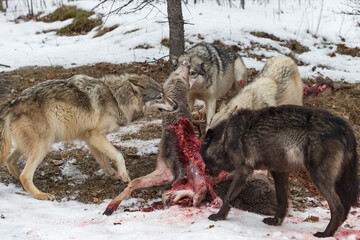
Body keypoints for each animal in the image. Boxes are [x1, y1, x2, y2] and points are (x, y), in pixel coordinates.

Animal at [0, 73, 177, 201]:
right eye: (159, 97)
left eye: (164, 94)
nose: (175, 105)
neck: (116, 98)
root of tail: (11, 103)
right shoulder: (95, 134)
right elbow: (118, 155)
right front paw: (125, 176)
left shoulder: (90, 138)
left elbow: (104, 161)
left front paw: (114, 174)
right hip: (44, 145)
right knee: (25, 175)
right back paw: (40, 194)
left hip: (32, 145)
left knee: (10, 160)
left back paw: (18, 179)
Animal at [201, 105, 358, 238]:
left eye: (203, 158)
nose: (205, 172)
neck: (225, 137)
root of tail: (343, 125)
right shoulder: (280, 171)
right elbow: (282, 201)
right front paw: (276, 221)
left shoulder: (243, 170)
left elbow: (228, 197)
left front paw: (218, 216)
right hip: (339, 182)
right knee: (345, 206)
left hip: (319, 177)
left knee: (338, 207)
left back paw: (326, 234)